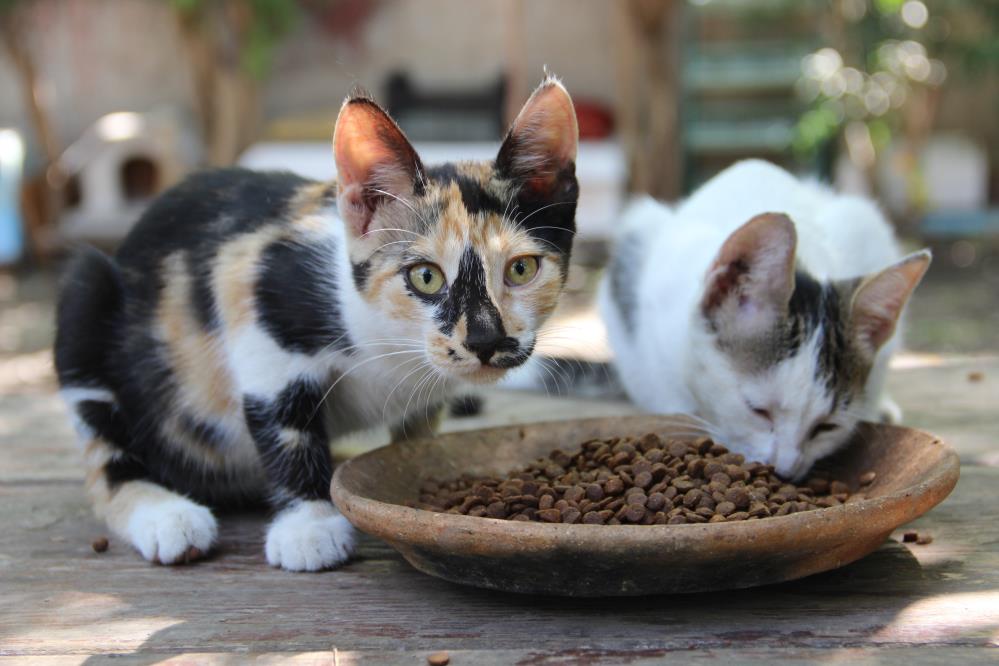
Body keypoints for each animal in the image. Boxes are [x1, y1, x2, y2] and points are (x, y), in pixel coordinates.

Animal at [54, 75, 584, 568]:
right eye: (426, 277)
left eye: (521, 269)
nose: (485, 339)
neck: (392, 348)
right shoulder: (255, 292)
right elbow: (286, 423)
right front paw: (309, 525)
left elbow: (415, 436)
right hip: (87, 296)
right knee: (106, 457)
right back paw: (166, 516)